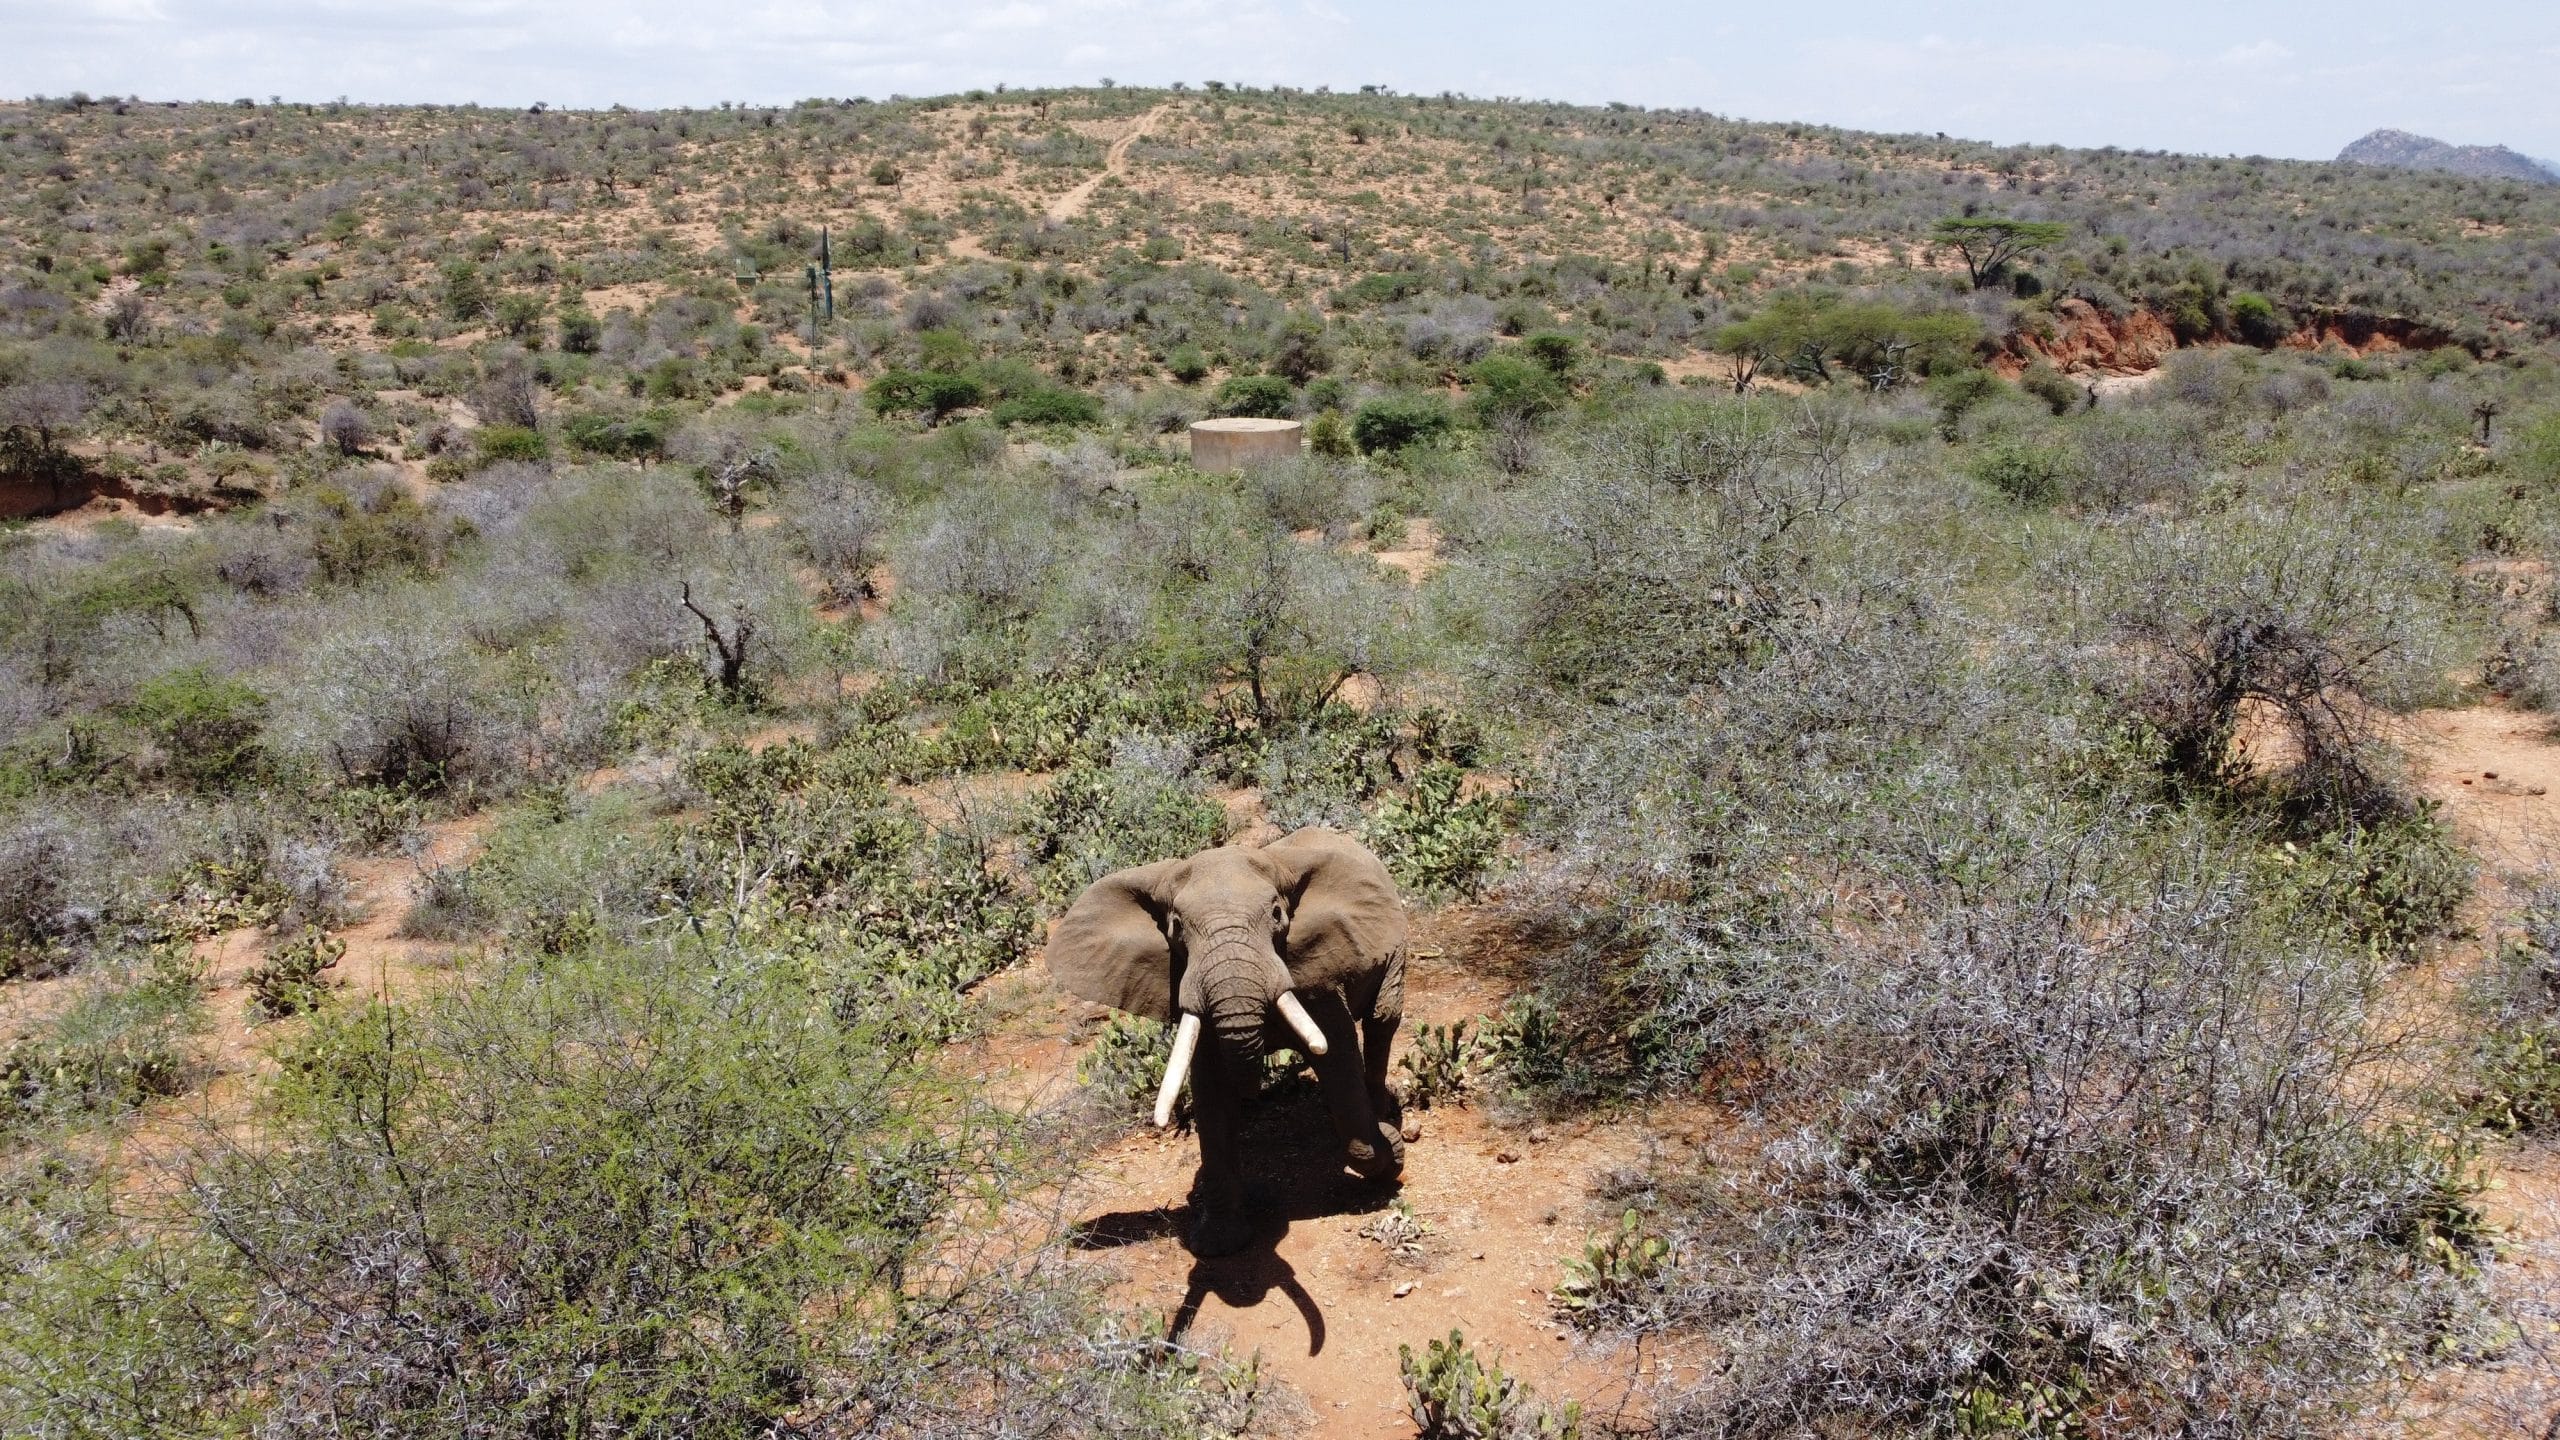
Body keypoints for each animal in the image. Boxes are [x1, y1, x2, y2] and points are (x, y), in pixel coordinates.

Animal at [1044, 825, 1423, 1250]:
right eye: (1177, 927)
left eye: (1277, 914)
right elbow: (1211, 1091)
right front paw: (1219, 1244)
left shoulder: (1316, 972)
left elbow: (1337, 1059)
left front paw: (1388, 1147)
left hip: (1391, 949)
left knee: (1381, 1021)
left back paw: (1381, 1111)